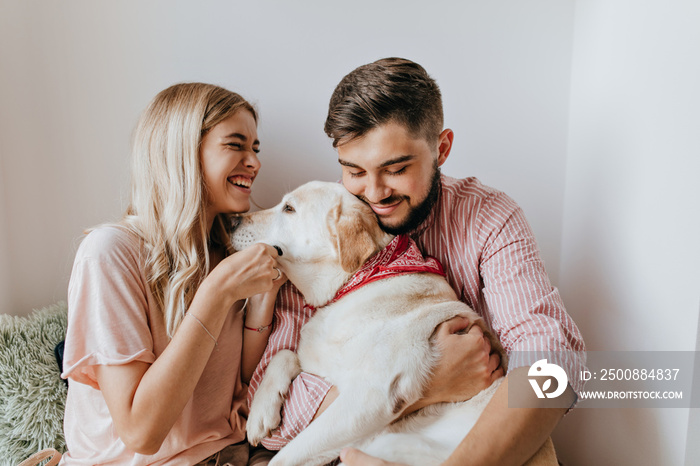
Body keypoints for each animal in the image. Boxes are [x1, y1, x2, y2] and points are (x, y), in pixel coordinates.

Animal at [232, 181, 556, 466]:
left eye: (289, 208)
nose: (232, 219)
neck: (357, 281)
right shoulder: (317, 362)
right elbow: (283, 354)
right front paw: (261, 411)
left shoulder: (371, 396)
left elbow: (288, 455)